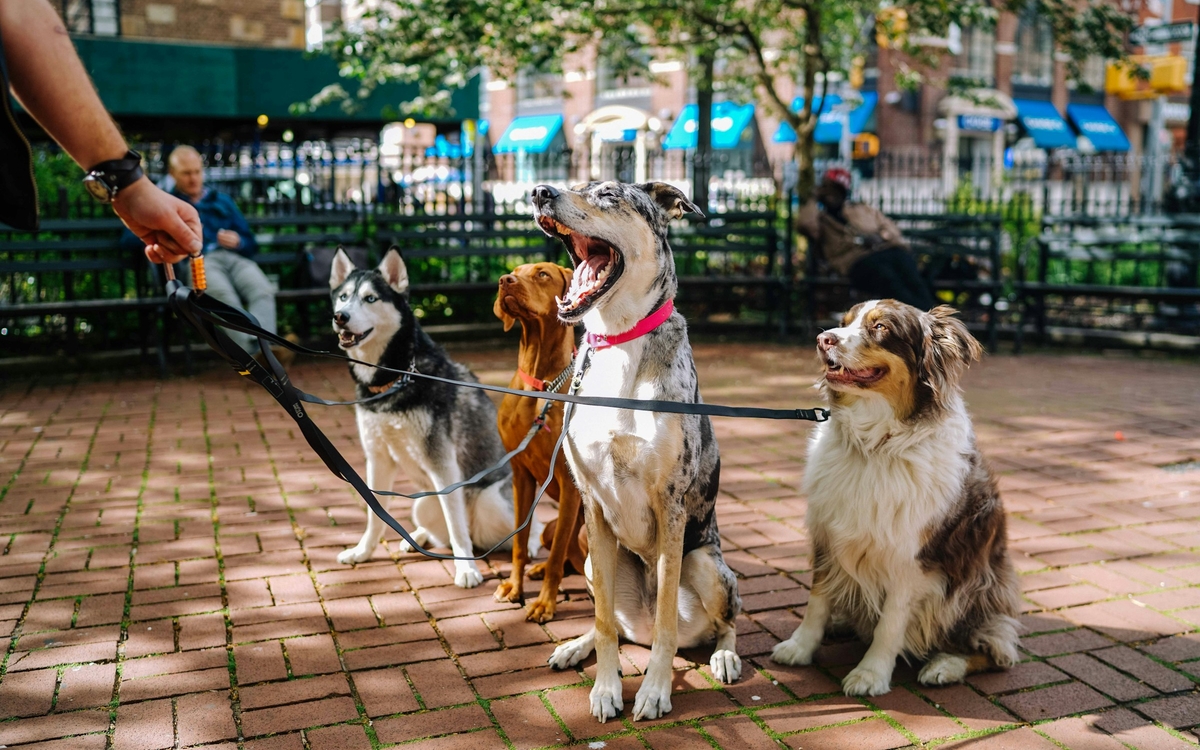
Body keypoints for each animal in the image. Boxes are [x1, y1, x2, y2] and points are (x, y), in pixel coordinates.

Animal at [492, 262, 585, 619]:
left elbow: (559, 555)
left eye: (542, 274)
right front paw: (514, 587)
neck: (540, 384)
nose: (505, 281)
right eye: (514, 271)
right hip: (548, 527)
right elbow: (519, 543)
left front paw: (545, 602)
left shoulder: (569, 483)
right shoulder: (520, 475)